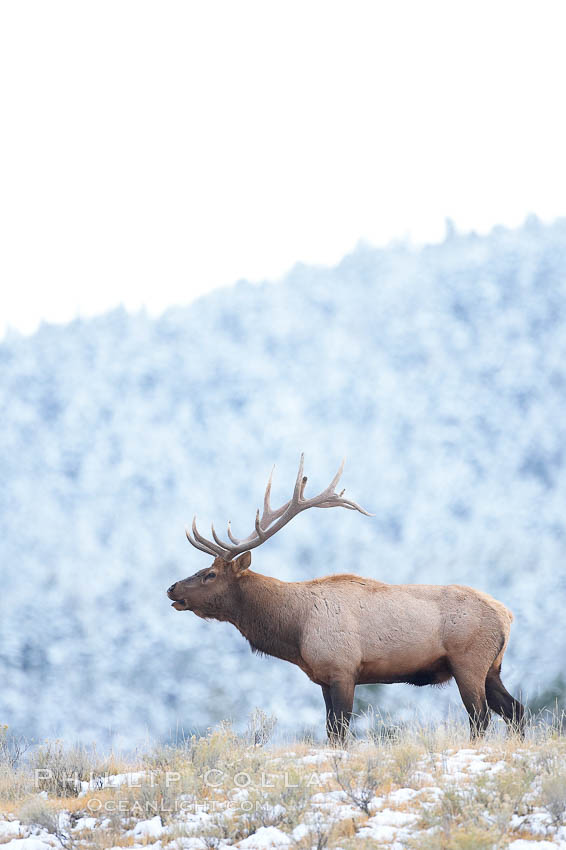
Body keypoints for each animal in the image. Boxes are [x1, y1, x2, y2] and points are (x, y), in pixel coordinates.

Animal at [166, 454, 524, 740]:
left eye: (210, 574)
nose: (172, 588)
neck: (294, 629)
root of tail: (507, 615)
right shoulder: (324, 679)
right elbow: (331, 731)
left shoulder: (342, 668)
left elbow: (339, 731)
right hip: (493, 668)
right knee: (517, 711)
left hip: (469, 661)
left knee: (481, 717)